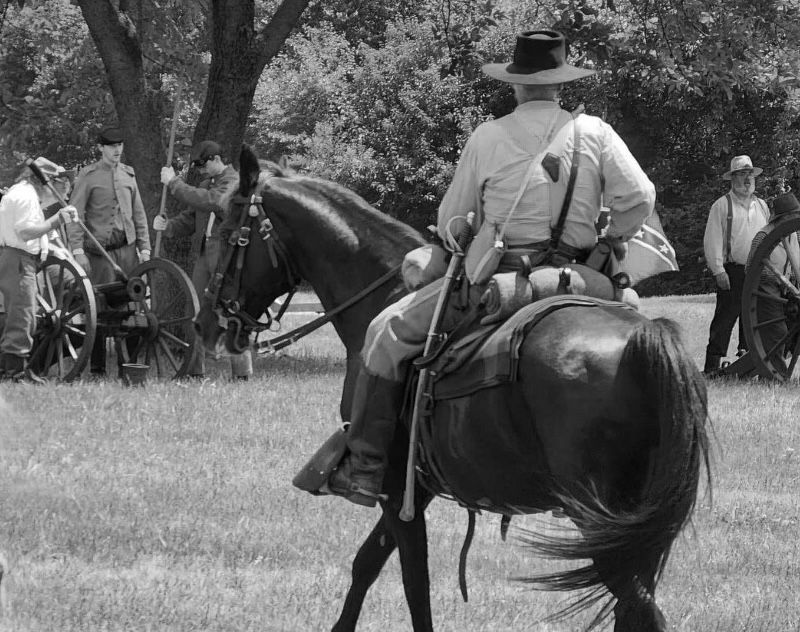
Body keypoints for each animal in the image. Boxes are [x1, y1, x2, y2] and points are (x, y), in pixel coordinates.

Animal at [197, 148, 708, 632]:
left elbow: (413, 583)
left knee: (640, 607)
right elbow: (368, 563)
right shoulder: (414, 488)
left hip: (600, 519)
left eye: (228, 227)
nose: (210, 321)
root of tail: (646, 336)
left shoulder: (394, 488)